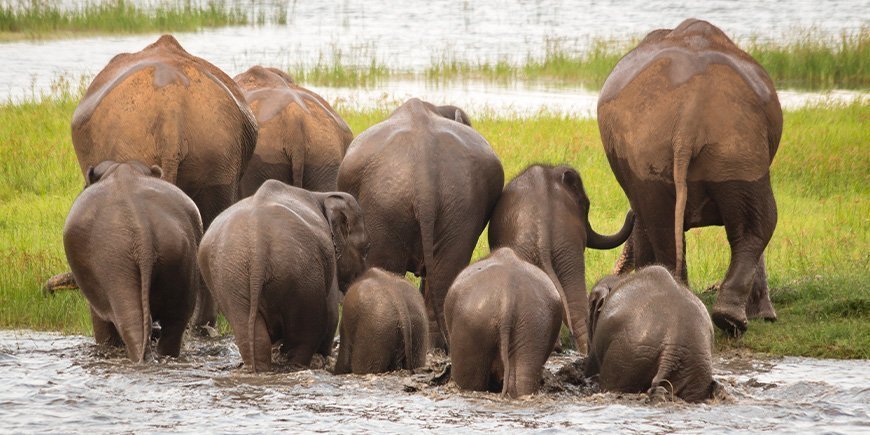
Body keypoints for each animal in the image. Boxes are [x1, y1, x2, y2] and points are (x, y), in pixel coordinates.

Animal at [63, 160, 203, 362]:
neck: (122, 169)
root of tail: (141, 231)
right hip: (179, 258)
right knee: (175, 322)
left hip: (114, 263)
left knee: (130, 322)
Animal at [197, 180, 368, 372]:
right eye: (366, 248)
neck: (321, 195)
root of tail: (257, 243)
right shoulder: (329, 254)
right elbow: (331, 313)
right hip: (302, 273)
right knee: (306, 332)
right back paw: (296, 364)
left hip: (230, 277)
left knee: (249, 331)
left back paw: (259, 368)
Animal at [597, 19, 782, 336]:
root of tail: (689, 115)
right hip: (733, 151)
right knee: (759, 222)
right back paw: (727, 319)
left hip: (681, 152)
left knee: (662, 221)